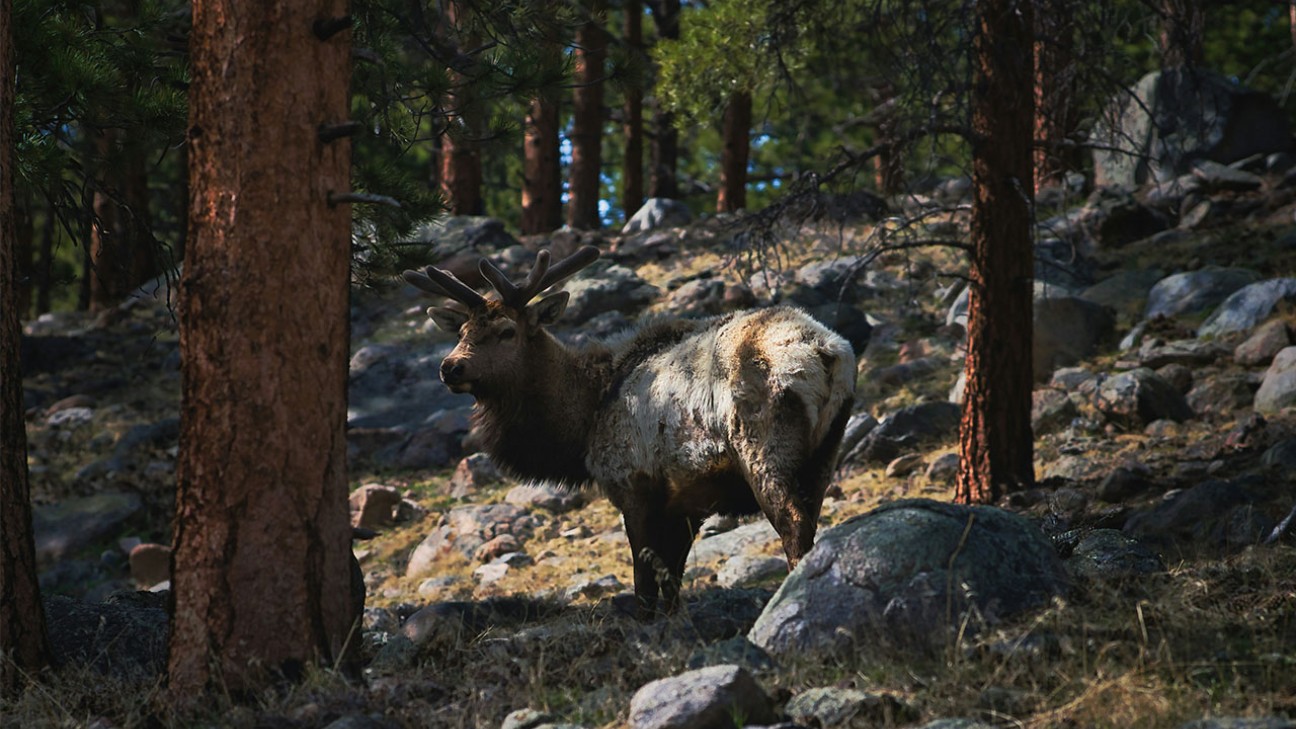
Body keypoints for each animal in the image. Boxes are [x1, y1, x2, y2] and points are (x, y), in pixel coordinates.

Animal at [403, 245, 856, 615]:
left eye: (506, 331)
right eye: (463, 331)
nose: (451, 367)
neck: (582, 424)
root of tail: (826, 353)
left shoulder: (633, 482)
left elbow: (644, 584)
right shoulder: (685, 501)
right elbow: (672, 584)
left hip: (761, 445)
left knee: (793, 525)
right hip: (825, 451)